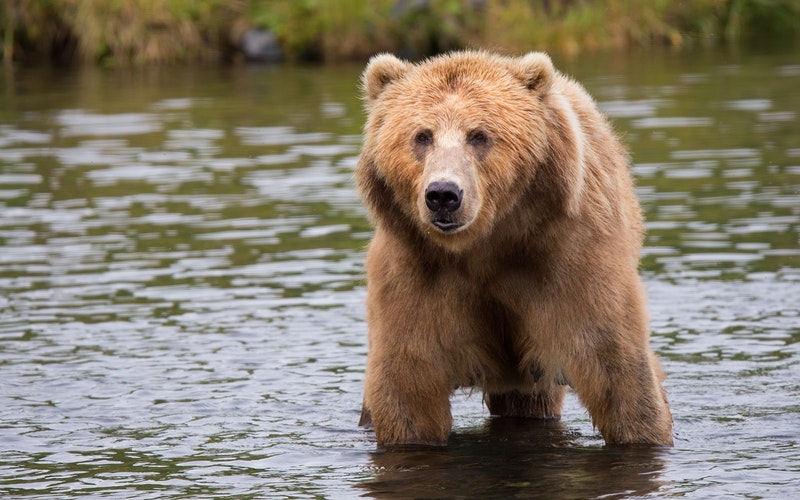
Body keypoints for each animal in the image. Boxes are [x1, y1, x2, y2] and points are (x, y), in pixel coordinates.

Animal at [354, 50, 672, 448]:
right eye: (422, 136)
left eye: (479, 135)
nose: (443, 194)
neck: (486, 245)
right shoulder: (416, 271)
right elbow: (408, 384)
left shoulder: (569, 259)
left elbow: (615, 364)